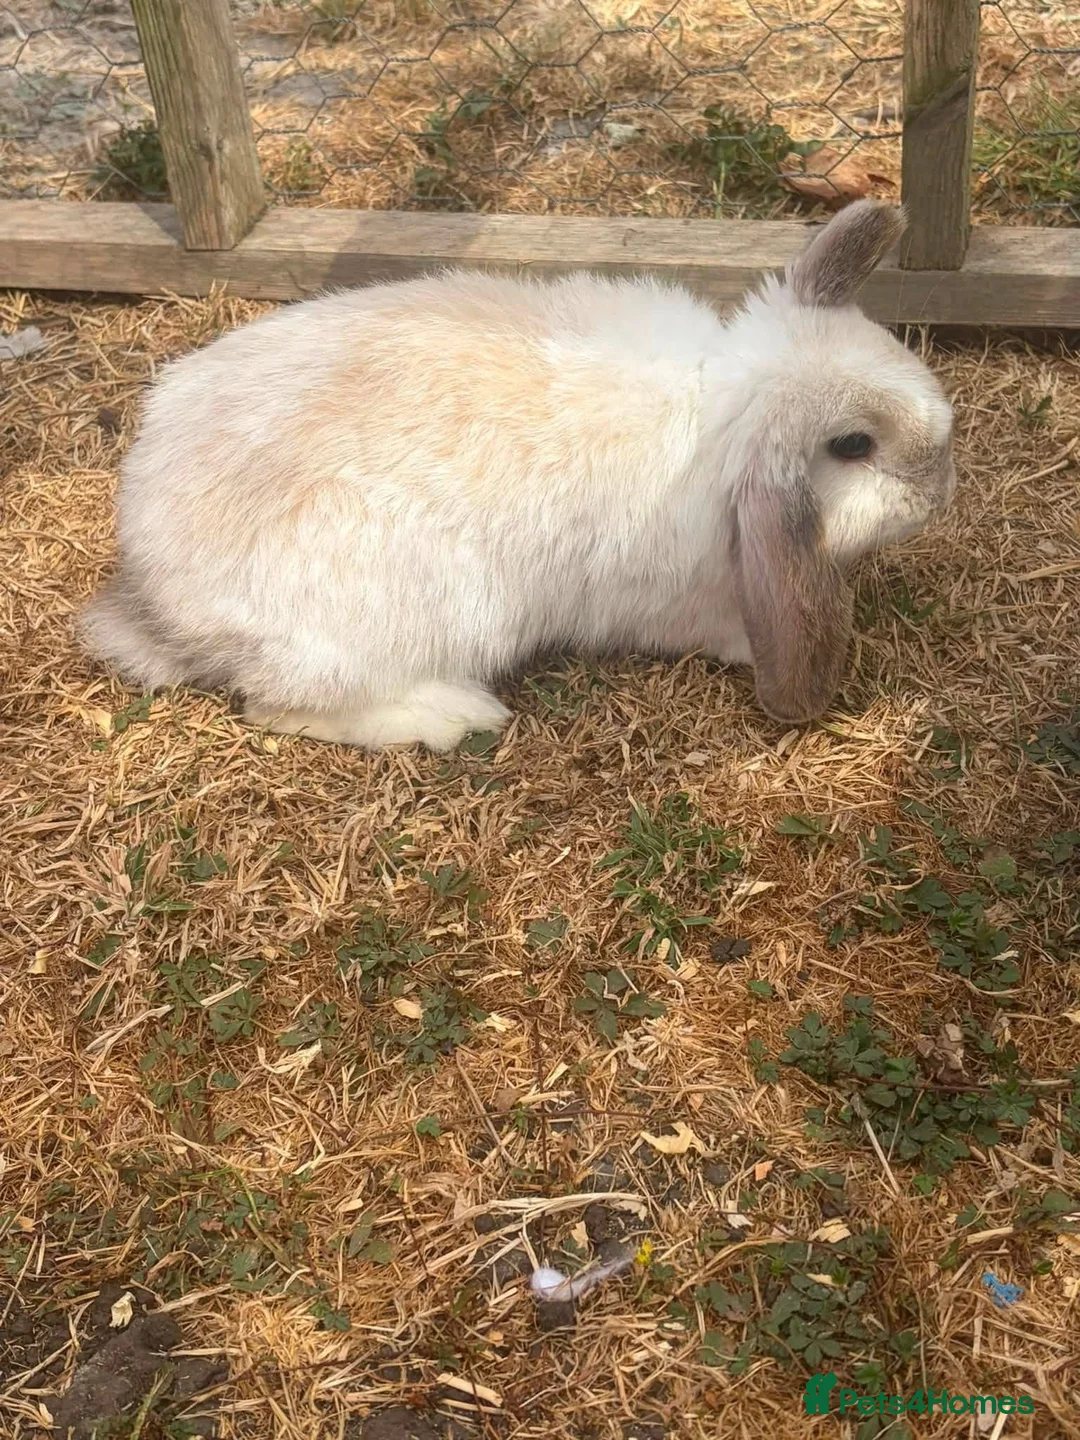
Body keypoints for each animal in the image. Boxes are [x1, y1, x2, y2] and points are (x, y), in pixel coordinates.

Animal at [81, 199, 955, 752]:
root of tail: (155, 602)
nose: (940, 484)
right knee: (280, 706)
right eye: (853, 446)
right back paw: (449, 715)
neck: (724, 413)